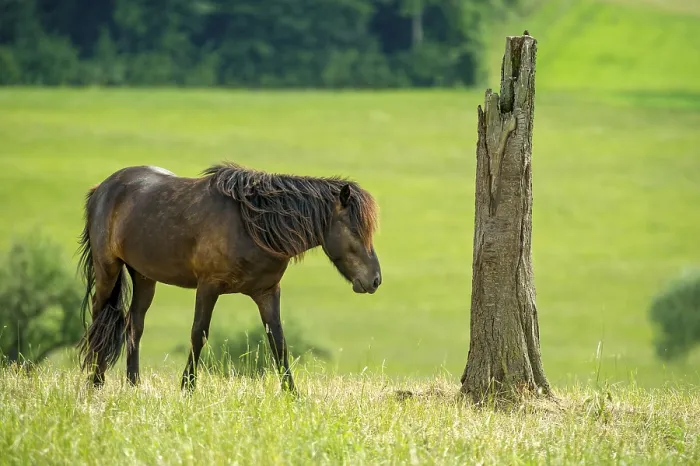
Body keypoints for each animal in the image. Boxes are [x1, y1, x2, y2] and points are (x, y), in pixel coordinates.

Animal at [75, 161, 382, 393]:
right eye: (355, 229)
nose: (375, 280)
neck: (254, 226)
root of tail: (101, 189)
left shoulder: (267, 292)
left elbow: (278, 341)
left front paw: (292, 394)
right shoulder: (208, 287)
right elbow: (199, 333)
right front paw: (187, 387)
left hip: (144, 276)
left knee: (133, 325)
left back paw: (133, 385)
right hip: (108, 269)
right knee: (99, 318)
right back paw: (95, 383)